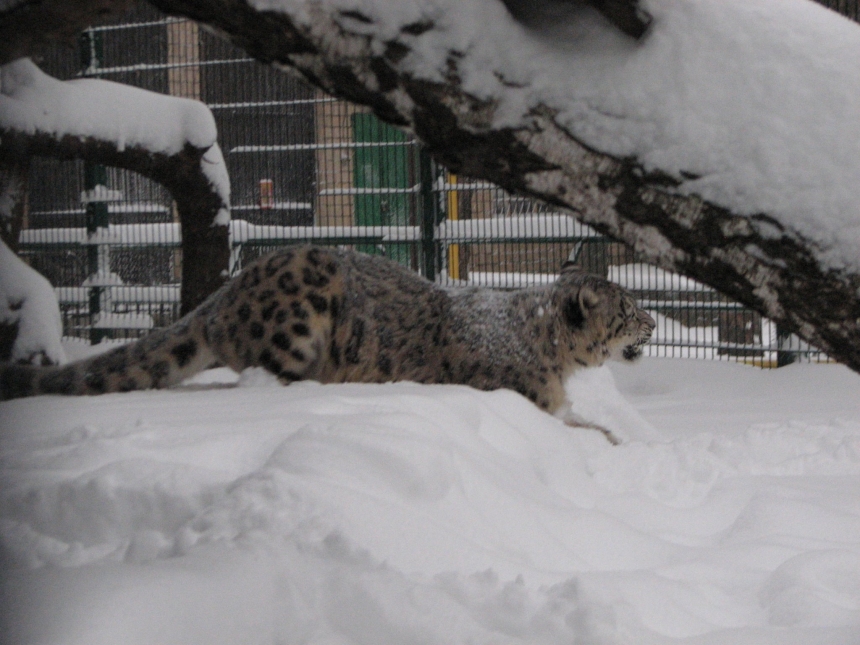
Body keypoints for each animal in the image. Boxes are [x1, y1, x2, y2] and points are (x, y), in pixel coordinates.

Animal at [0, 244, 652, 440]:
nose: (652, 325)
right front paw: (613, 439)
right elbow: (580, 428)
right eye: (627, 308)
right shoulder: (526, 401)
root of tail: (223, 296)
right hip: (300, 319)